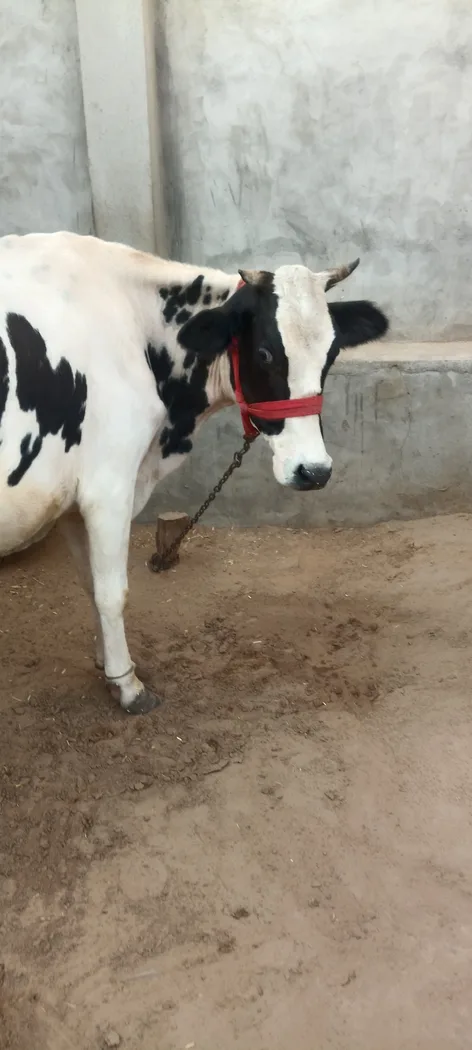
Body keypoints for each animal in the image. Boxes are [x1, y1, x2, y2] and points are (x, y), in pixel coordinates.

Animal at [0, 232, 388, 713]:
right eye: (264, 352)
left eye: (331, 354)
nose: (313, 470)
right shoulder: (108, 486)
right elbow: (112, 591)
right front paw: (127, 685)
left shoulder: (73, 497)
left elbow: (91, 584)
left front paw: (106, 664)